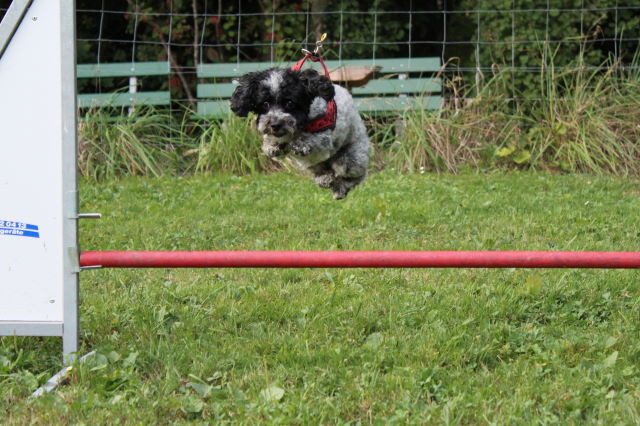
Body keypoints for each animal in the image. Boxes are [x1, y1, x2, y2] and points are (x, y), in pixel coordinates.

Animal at [230, 67, 370, 200]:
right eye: (265, 104)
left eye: (290, 103)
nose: (275, 125)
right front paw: (271, 145)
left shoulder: (325, 140)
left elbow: (311, 139)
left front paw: (300, 143)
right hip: (316, 165)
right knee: (323, 169)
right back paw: (324, 178)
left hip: (349, 159)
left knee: (357, 175)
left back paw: (340, 189)